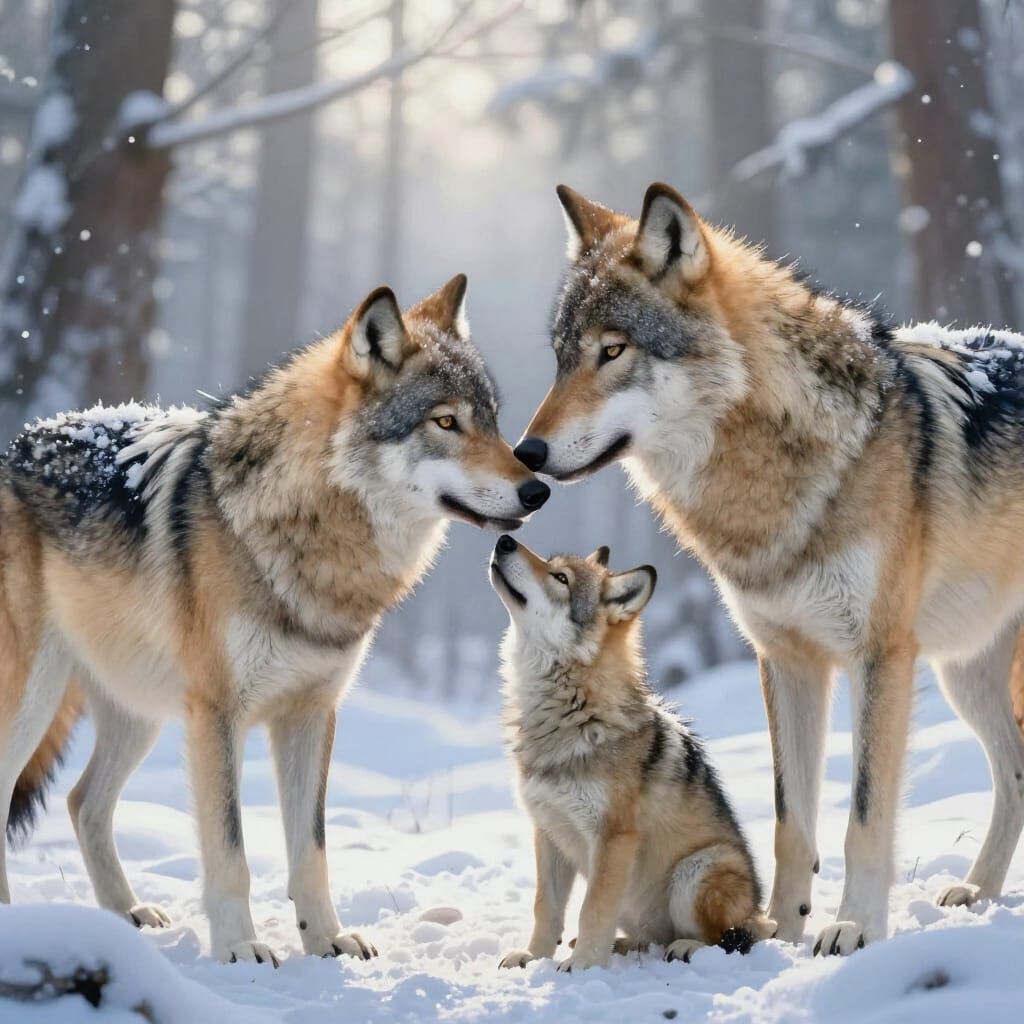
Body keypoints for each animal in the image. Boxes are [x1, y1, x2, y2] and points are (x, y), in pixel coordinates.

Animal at [0, 275, 549, 965]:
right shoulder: (218, 715)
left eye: (494, 421)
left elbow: (310, 850)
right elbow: (230, 851)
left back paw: (126, 914)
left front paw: (327, 939)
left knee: (82, 803)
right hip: (36, 701)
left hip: (140, 713)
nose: (538, 490)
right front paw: (240, 946)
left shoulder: (311, 713)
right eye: (445, 422)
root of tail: (17, 443)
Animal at [490, 534, 772, 971]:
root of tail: (761, 912)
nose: (504, 540)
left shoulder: (613, 838)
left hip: (697, 871)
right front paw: (535, 957)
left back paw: (685, 948)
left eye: (561, 578)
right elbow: (546, 908)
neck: (570, 712)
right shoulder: (548, 832)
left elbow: (592, 909)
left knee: (728, 938)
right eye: (553, 566)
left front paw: (582, 966)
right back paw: (625, 947)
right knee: (652, 939)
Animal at [513, 181, 1024, 956]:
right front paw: (775, 932)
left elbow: (863, 818)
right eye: (562, 358)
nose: (527, 453)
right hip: (964, 676)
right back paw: (980, 891)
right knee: (1017, 774)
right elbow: (791, 824)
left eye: (613, 351)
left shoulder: (880, 656)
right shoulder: (786, 657)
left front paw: (854, 928)